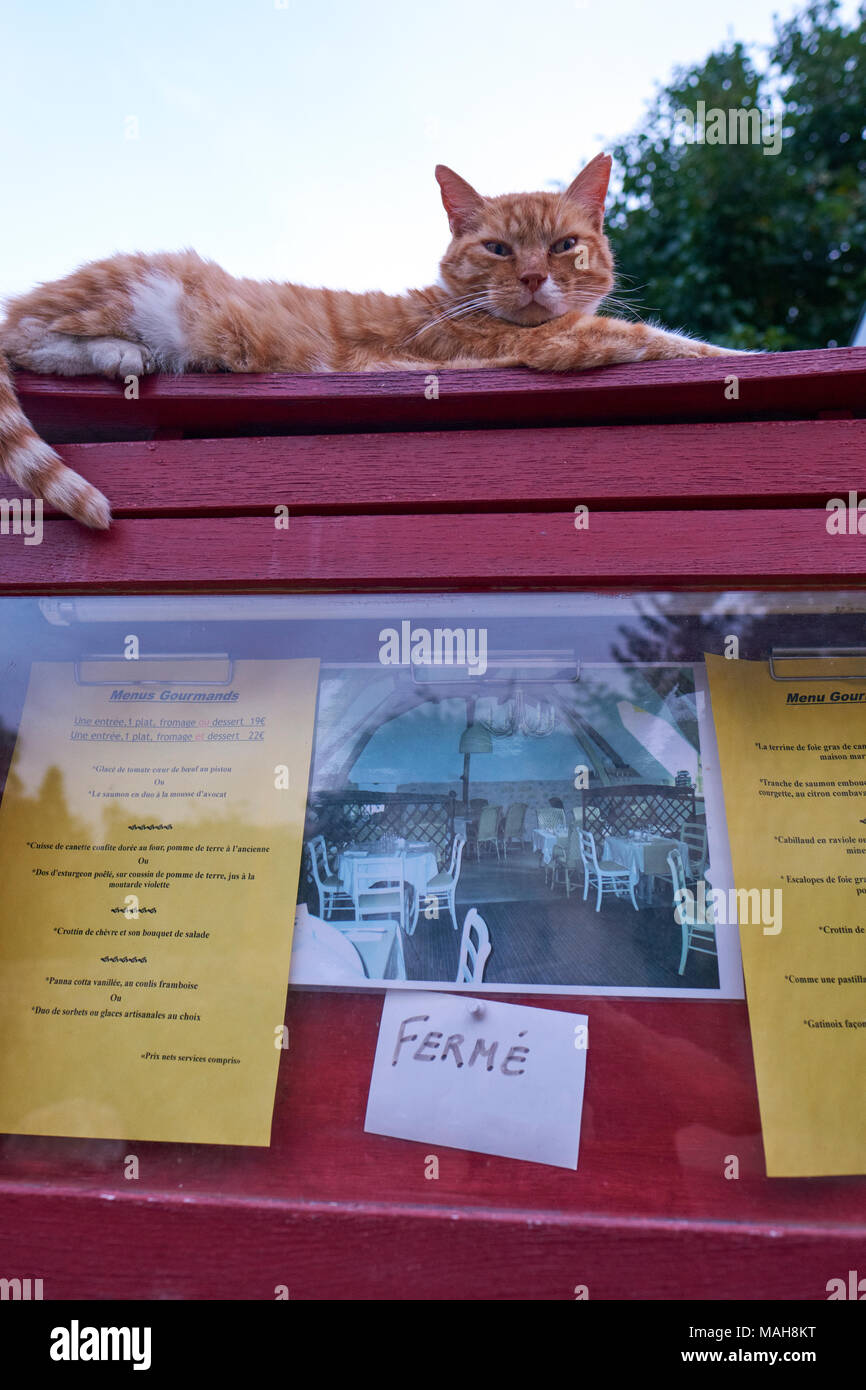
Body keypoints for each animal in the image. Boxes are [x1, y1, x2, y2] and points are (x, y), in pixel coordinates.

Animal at [0, 154, 739, 528]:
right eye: (498, 249)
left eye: (563, 246)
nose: (533, 278)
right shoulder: (558, 345)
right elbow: (669, 341)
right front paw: (738, 356)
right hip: (148, 299)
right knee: (25, 339)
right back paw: (120, 353)